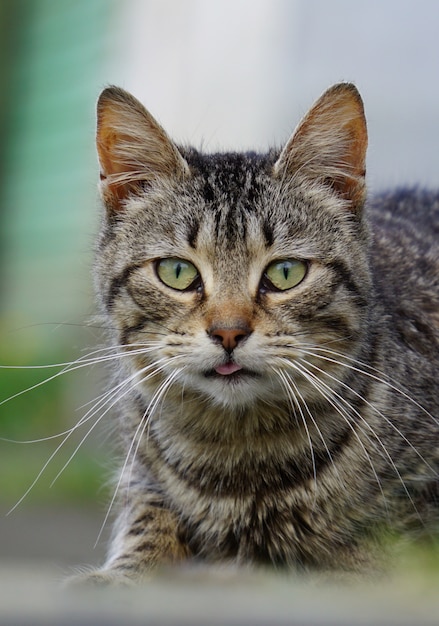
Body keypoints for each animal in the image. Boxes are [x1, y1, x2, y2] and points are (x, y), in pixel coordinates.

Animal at [73, 80, 439, 584]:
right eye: (176, 272)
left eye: (286, 273)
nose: (229, 333)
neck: (238, 453)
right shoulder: (142, 479)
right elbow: (146, 526)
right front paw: (118, 576)